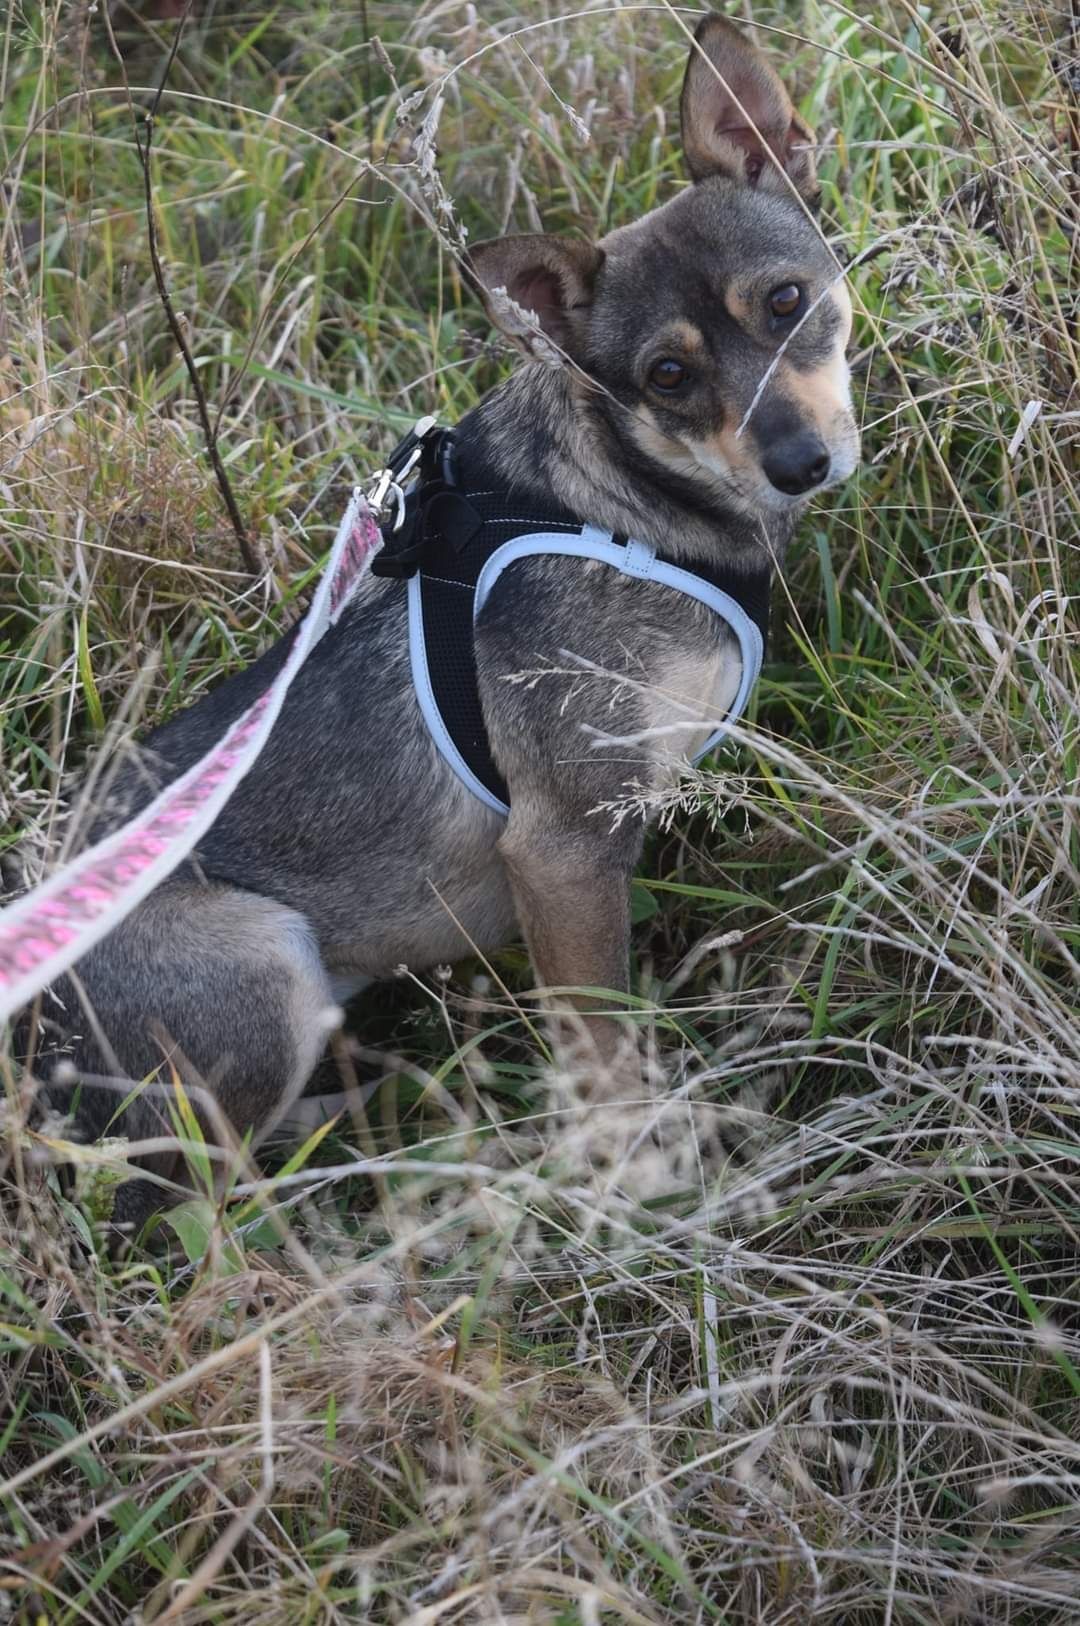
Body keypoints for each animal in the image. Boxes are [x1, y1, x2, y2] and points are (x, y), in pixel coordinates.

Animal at [23, 15, 858, 1229]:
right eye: (666, 374)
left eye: (787, 303)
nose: (802, 464)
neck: (626, 498)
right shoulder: (562, 848)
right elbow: (604, 1048)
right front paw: (638, 1182)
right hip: (265, 966)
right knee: (195, 1190)